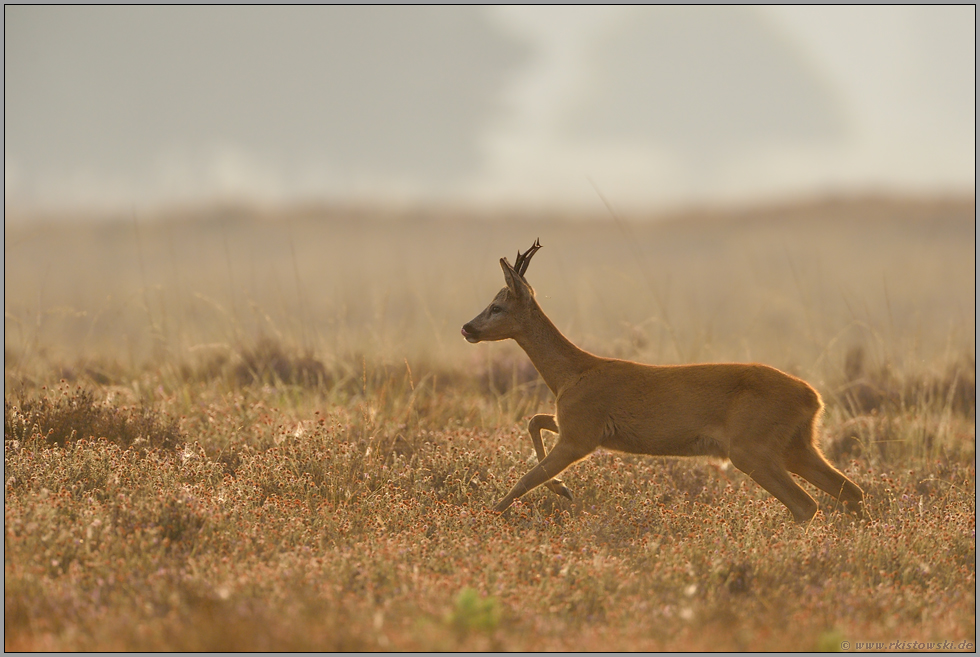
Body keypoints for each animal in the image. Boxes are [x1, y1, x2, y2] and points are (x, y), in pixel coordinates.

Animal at [462, 241, 864, 524]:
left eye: (497, 306)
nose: (467, 328)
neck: (571, 375)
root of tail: (814, 398)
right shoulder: (577, 425)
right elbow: (534, 422)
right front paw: (562, 489)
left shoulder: (581, 433)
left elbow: (523, 480)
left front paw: (487, 517)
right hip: (797, 445)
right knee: (852, 491)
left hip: (752, 447)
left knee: (807, 504)